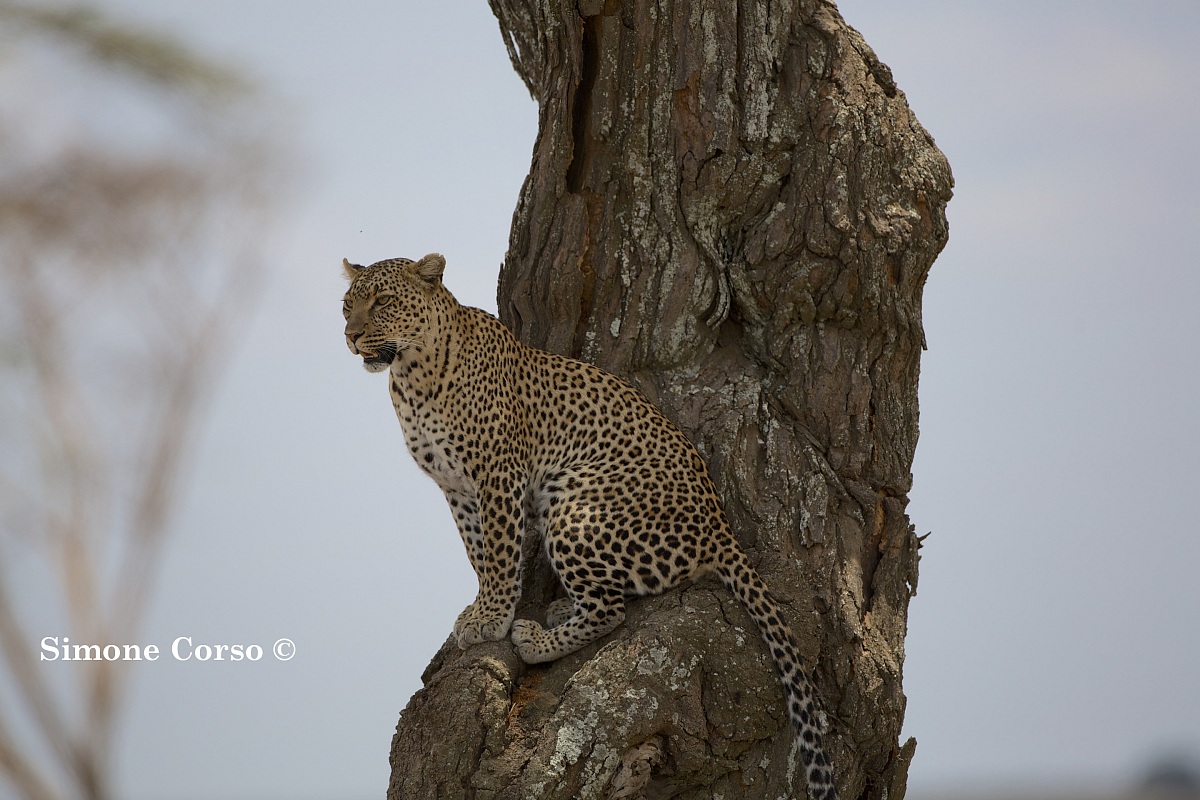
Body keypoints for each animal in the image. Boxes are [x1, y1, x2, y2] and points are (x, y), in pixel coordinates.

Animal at [342, 252, 838, 800]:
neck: (411, 376)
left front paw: (492, 617)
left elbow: (500, 549)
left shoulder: (498, 473)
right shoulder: (456, 487)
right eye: (347, 304)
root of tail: (720, 528)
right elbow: (479, 550)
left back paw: (538, 640)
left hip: (573, 506)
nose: (350, 335)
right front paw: (483, 604)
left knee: (611, 610)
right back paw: (561, 606)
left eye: (383, 302)